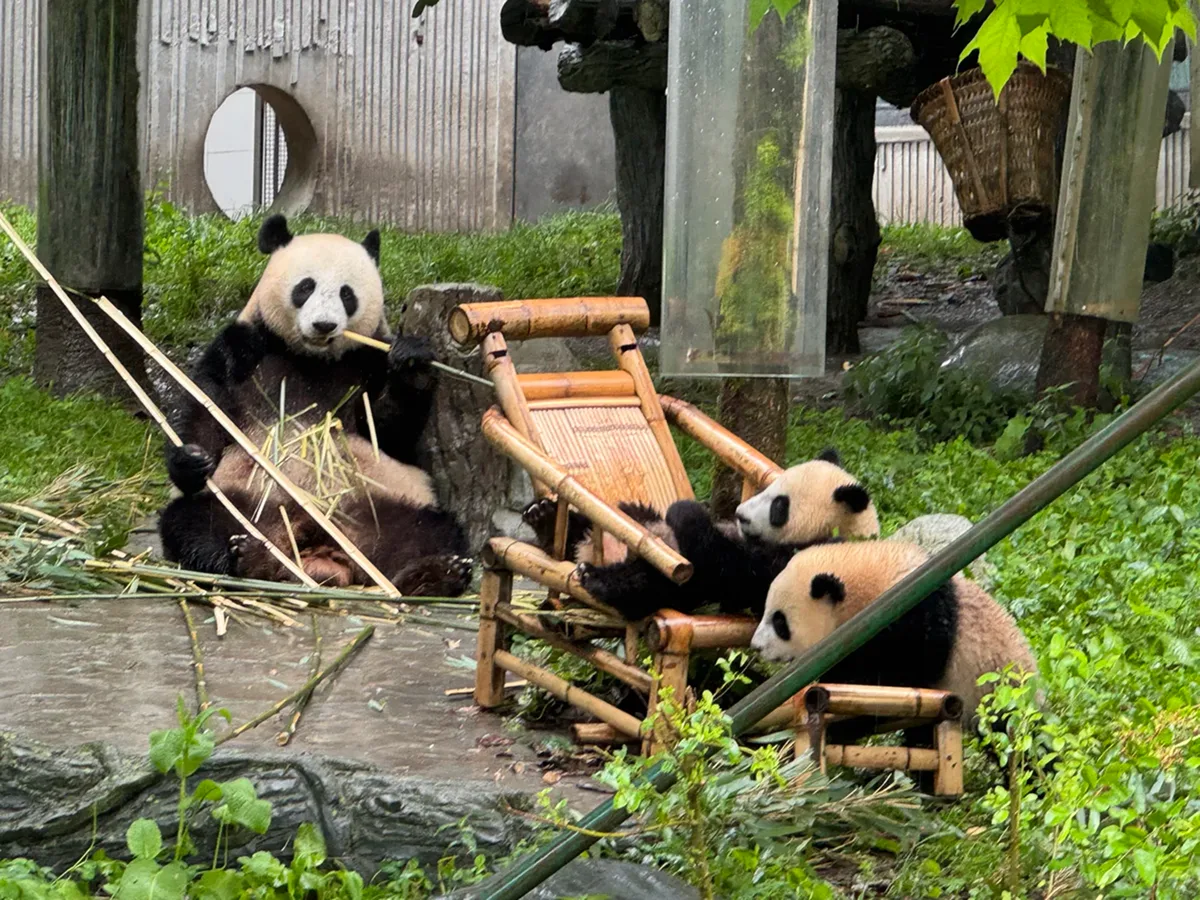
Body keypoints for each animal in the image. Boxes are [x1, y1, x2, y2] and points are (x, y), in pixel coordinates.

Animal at [157, 214, 472, 596]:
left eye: (347, 294)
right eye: (305, 287)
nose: (324, 325)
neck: (312, 358)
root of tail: (321, 550)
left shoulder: (368, 359)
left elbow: (387, 431)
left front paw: (412, 362)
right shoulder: (243, 348)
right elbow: (206, 407)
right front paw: (191, 460)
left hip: (386, 506)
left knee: (432, 532)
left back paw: (435, 573)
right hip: (249, 502)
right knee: (196, 522)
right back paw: (252, 559)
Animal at [520, 449, 880, 621]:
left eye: (779, 504)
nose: (740, 514)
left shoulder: (788, 563)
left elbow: (731, 563)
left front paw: (688, 510)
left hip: (673, 588)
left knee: (640, 586)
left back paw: (593, 575)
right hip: (632, 517)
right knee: (598, 524)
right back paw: (545, 519)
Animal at [751, 539, 1038, 741]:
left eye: (780, 622)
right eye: (766, 611)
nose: (756, 646)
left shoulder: (912, 623)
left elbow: (894, 679)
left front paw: (845, 726)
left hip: (999, 694)